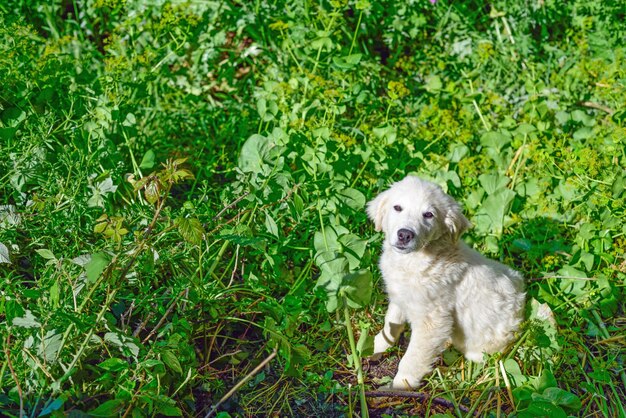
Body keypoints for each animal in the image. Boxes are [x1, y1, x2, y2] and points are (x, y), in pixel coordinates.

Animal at [366, 176, 520, 388]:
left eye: (428, 215)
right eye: (397, 207)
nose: (405, 234)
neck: (415, 260)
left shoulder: (432, 320)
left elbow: (413, 358)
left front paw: (400, 385)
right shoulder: (399, 297)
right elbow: (391, 324)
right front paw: (376, 347)